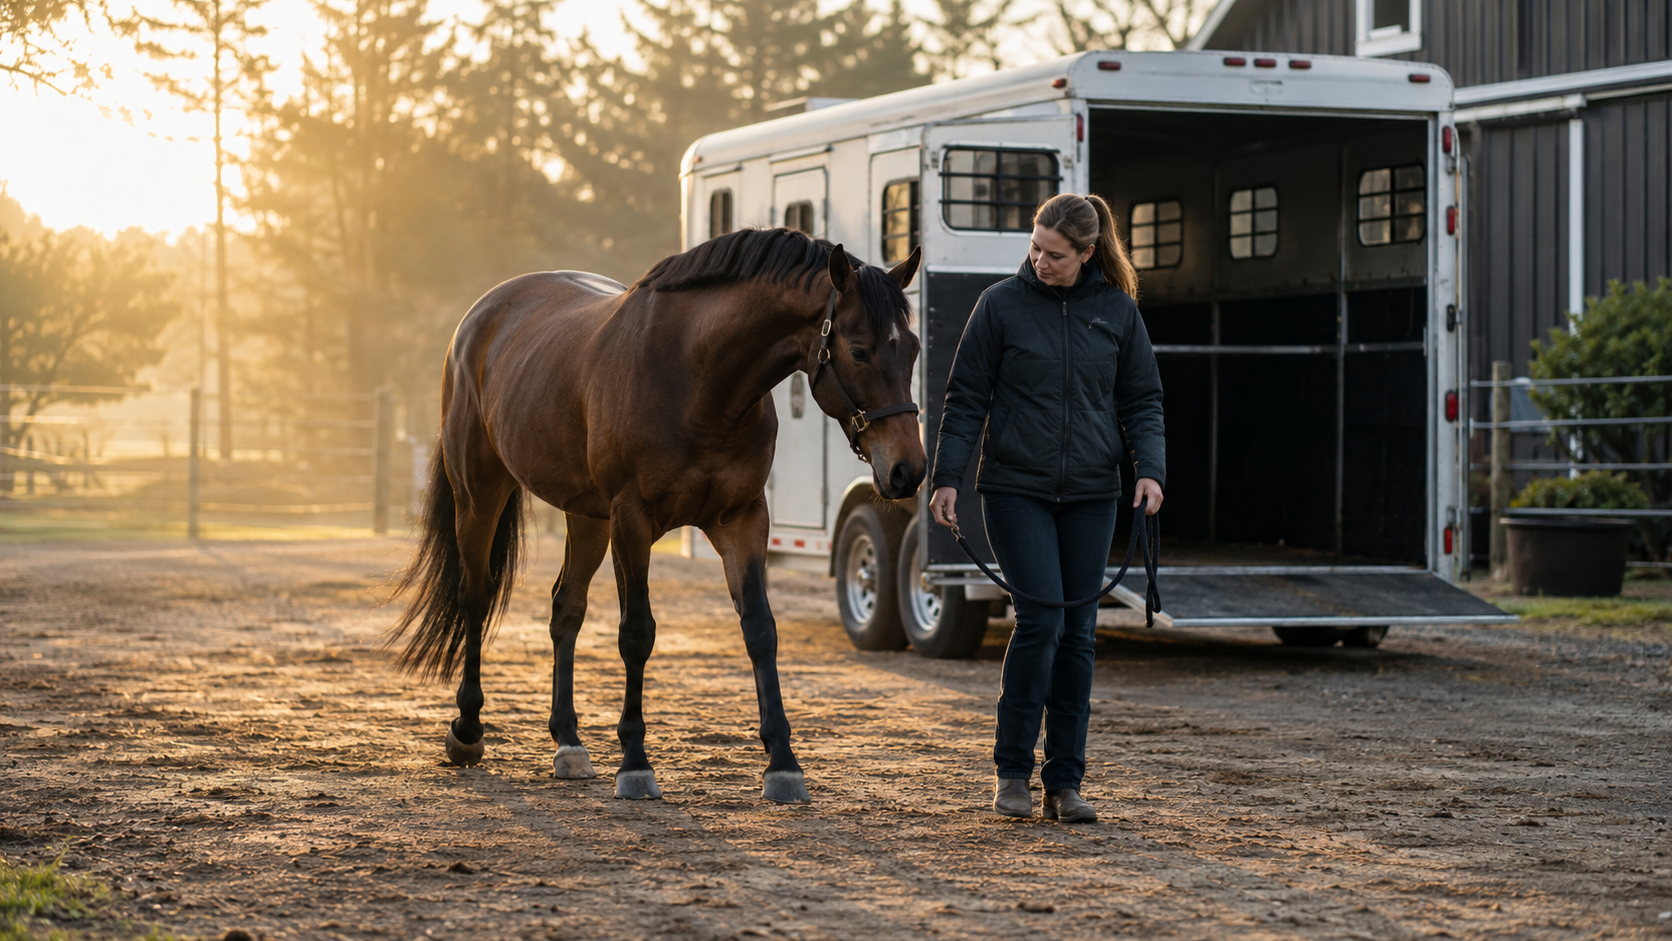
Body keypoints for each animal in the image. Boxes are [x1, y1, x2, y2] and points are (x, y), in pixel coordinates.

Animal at [388, 228, 925, 803]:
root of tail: (480, 316)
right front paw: (635, 763)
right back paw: (467, 730)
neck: (698, 379)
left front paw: (782, 764)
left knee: (566, 609)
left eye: (913, 349)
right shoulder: (633, 519)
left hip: (587, 517)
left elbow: (760, 629)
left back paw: (569, 742)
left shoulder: (742, 520)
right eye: (860, 350)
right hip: (481, 493)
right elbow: (636, 633)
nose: (908, 471)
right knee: (476, 596)